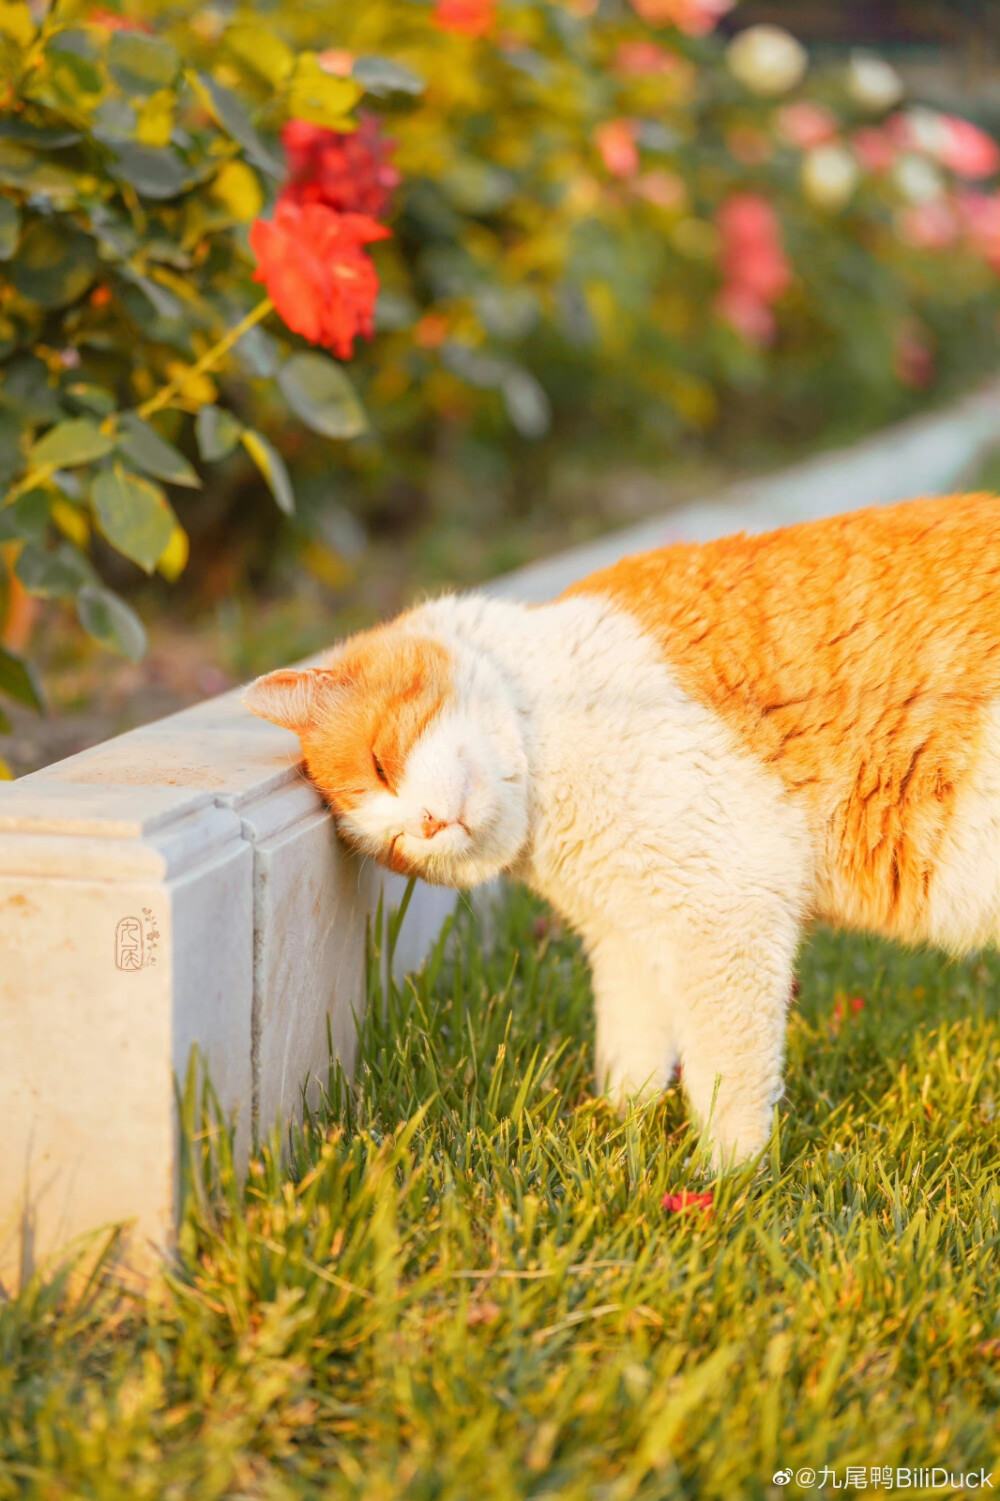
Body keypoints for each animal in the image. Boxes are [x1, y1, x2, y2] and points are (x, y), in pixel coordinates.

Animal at [244, 498, 996, 1164]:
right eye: (396, 852)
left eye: (381, 761)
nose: (425, 826)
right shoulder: (629, 936)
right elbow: (630, 1048)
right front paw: (616, 1133)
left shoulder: (727, 914)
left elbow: (724, 1078)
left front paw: (726, 1182)